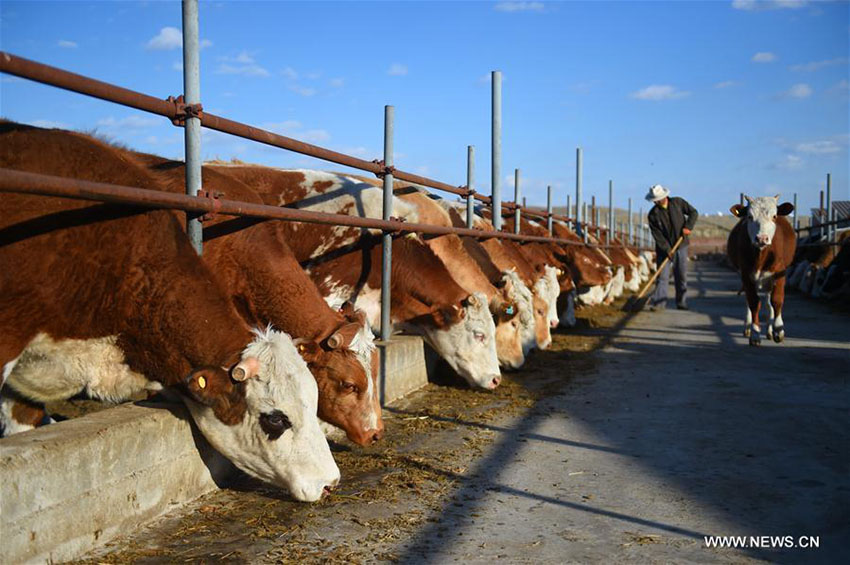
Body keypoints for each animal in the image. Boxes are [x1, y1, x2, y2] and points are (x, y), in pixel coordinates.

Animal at [724, 194, 796, 346]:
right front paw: (755, 333)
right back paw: (748, 327)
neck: (761, 256)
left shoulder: (780, 273)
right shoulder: (746, 274)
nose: (762, 238)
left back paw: (769, 331)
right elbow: (753, 302)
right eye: (750, 216)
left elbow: (777, 300)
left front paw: (778, 330)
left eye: (774, 216)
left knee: (769, 303)